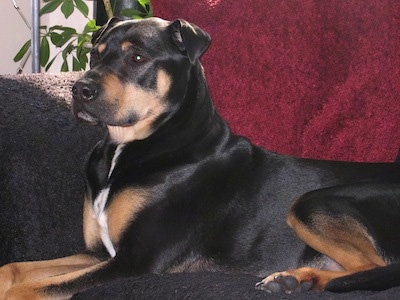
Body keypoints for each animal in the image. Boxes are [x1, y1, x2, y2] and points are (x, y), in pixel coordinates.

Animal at [0, 17, 400, 298]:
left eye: (137, 57)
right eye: (94, 55)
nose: (79, 89)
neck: (126, 148)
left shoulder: (135, 260)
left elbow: (32, 287)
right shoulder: (99, 254)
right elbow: (14, 269)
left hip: (312, 203)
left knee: (377, 268)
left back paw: (296, 278)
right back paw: (295, 281)